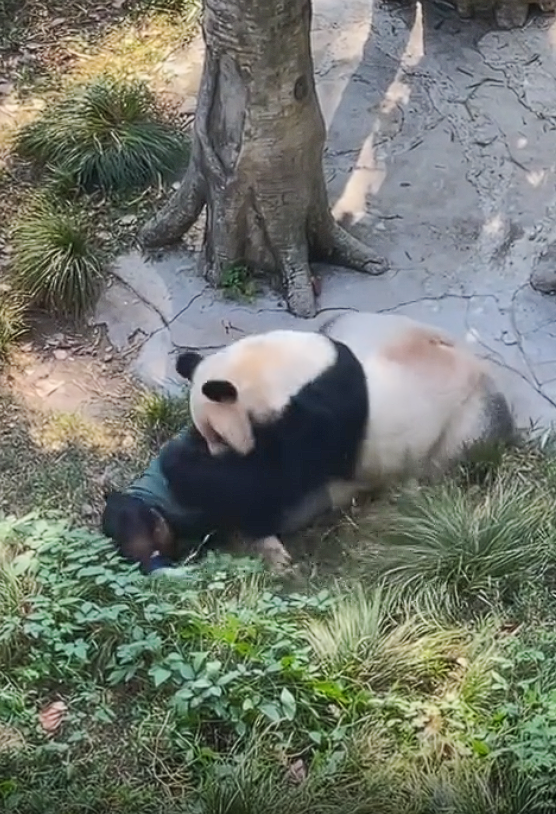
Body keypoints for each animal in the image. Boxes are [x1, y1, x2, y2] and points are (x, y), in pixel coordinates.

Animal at [159, 310, 516, 556]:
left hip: (467, 422)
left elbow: (270, 479)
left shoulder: (320, 418)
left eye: (219, 436)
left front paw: (179, 462)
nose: (214, 453)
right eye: (207, 433)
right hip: (370, 323)